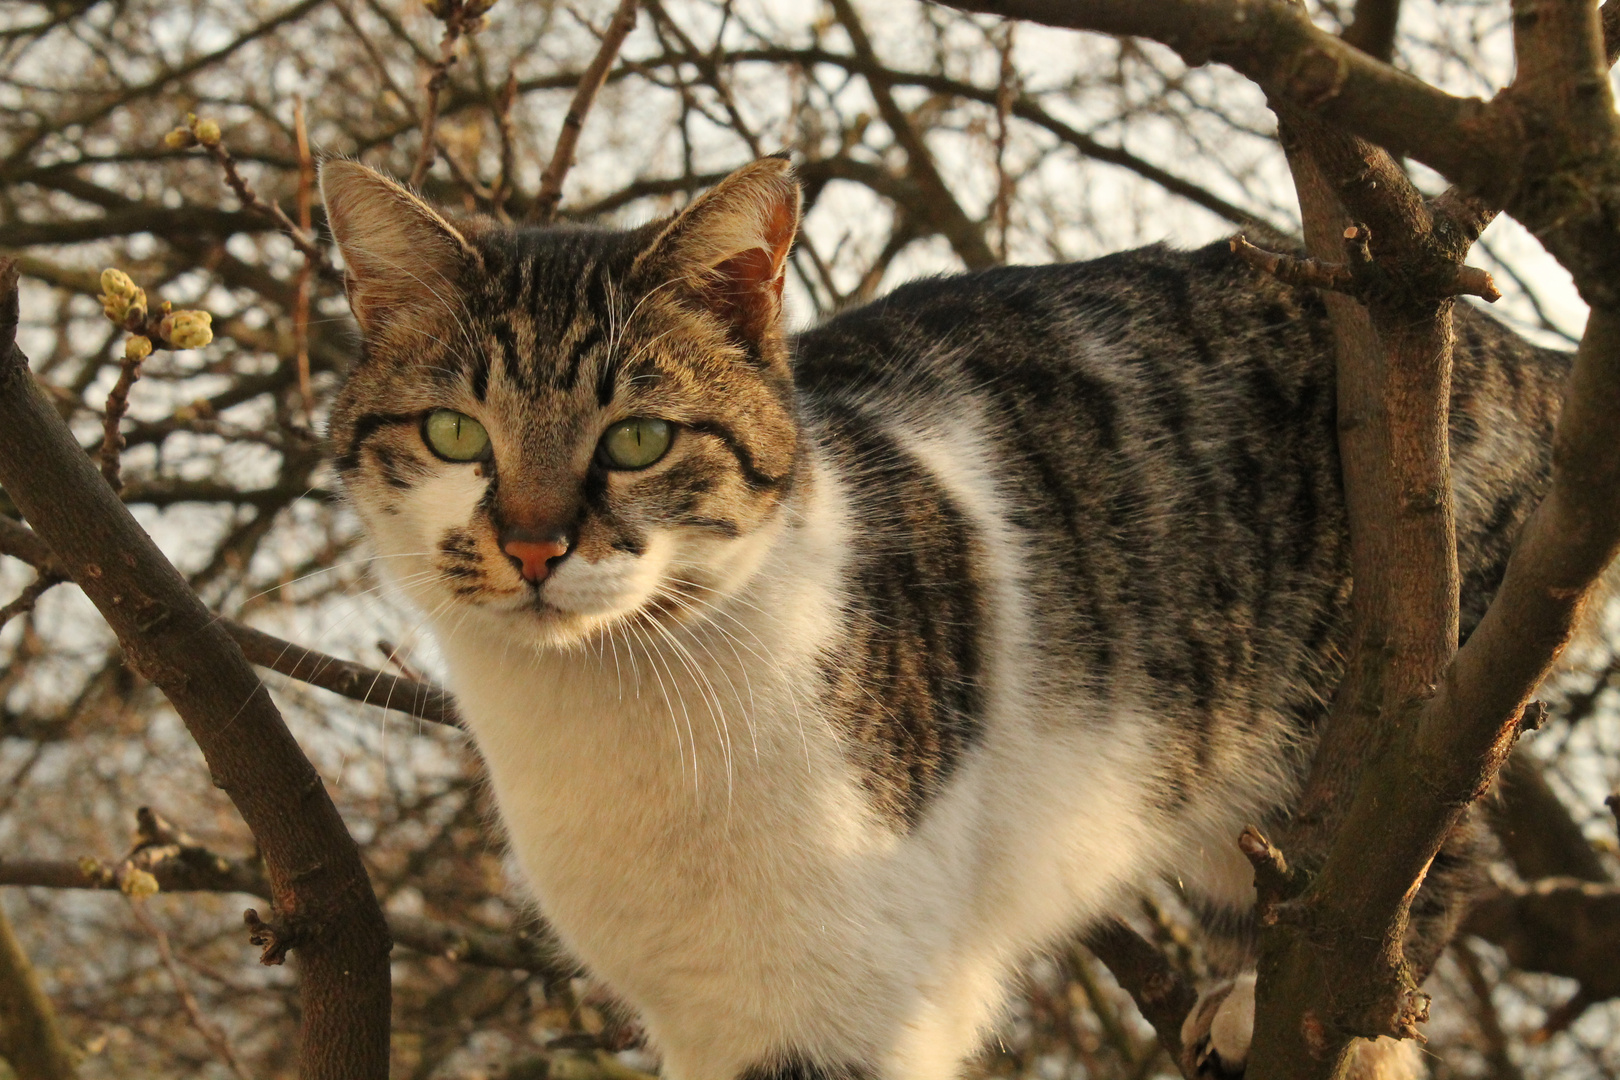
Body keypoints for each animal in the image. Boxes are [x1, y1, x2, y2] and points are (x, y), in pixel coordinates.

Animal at [319, 153, 1568, 1080]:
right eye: (454, 434)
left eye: (636, 439)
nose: (533, 546)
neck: (609, 711)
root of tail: (1526, 354)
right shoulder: (696, 1010)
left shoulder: (846, 998)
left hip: (1404, 711)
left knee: (1401, 890)